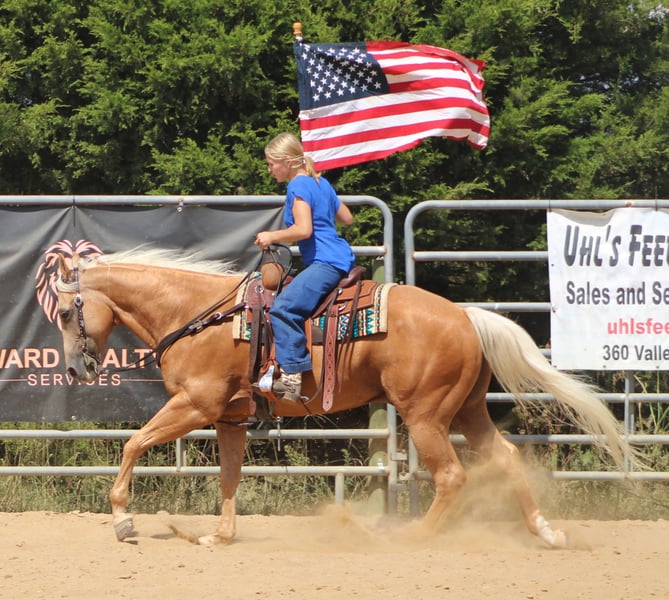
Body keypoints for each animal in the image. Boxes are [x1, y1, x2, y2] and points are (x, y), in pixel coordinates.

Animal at [54, 248, 634, 548]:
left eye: (63, 312)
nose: (76, 368)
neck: (200, 315)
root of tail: (466, 316)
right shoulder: (229, 419)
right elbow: (229, 476)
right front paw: (219, 536)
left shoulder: (194, 406)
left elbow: (133, 444)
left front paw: (123, 520)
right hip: (467, 410)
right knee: (507, 458)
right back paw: (546, 532)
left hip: (426, 415)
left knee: (452, 475)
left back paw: (413, 536)